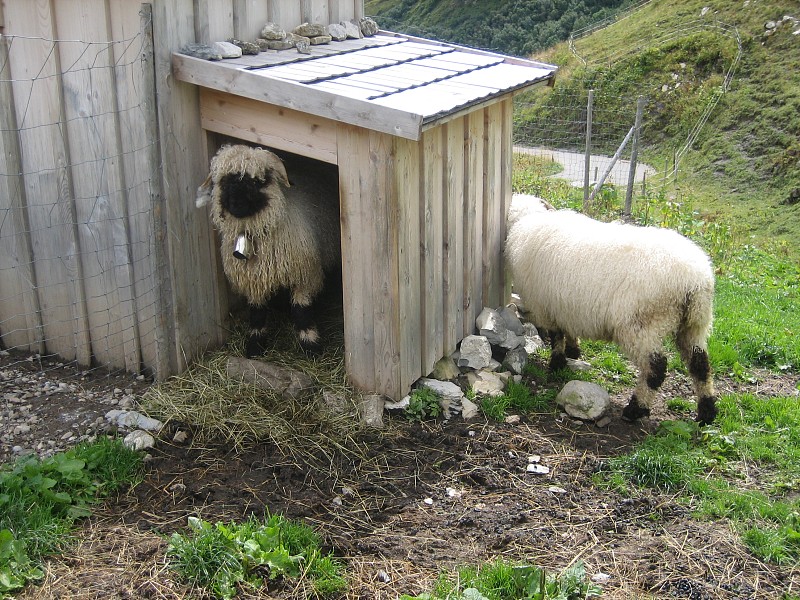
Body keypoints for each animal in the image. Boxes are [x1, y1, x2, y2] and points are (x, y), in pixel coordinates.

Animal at [198, 144, 342, 356]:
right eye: (223, 180)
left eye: (257, 181)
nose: (236, 204)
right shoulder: (253, 280)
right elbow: (257, 313)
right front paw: (255, 345)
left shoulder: (304, 276)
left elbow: (302, 310)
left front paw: (311, 345)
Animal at [506, 195, 720, 424]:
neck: (528, 219)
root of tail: (694, 281)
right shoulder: (565, 305)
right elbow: (567, 330)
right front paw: (573, 350)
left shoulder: (546, 307)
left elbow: (557, 336)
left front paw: (557, 363)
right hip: (695, 324)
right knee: (700, 365)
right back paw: (707, 412)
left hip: (642, 324)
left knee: (656, 368)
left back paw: (635, 409)